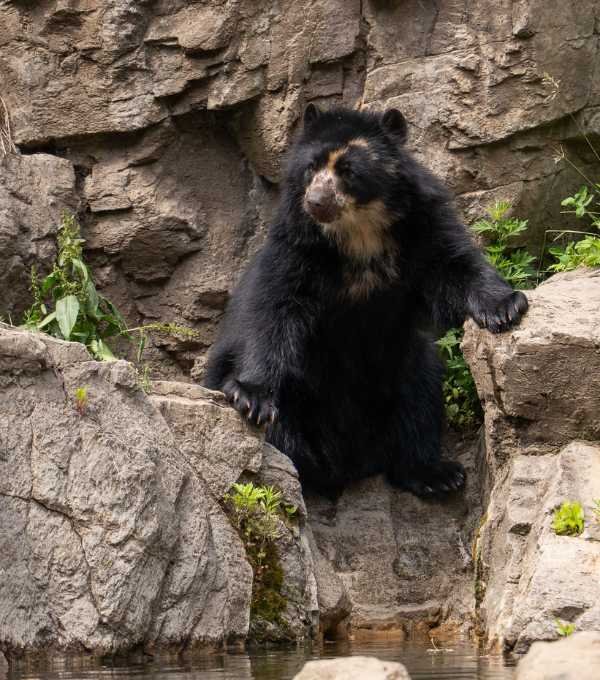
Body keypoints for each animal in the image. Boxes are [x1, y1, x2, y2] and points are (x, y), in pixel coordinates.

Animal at [203, 105, 528, 498]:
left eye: (348, 170)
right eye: (310, 167)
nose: (316, 202)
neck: (359, 231)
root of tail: (351, 461)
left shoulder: (421, 224)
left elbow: (455, 265)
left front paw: (506, 307)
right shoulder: (296, 248)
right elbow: (274, 312)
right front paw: (250, 397)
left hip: (404, 363)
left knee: (419, 396)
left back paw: (435, 473)